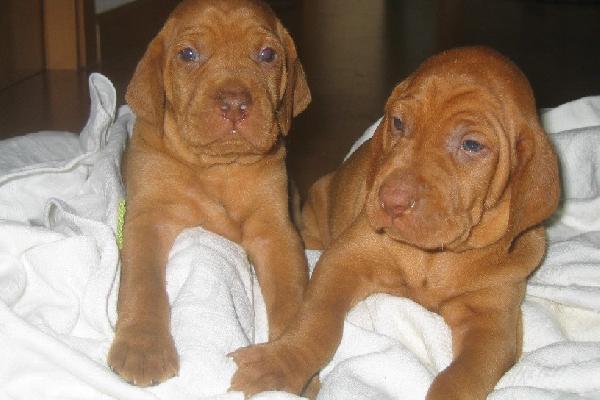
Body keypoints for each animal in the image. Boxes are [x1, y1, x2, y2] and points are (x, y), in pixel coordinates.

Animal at [108, 0, 312, 388]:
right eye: (188, 54)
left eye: (267, 55)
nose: (234, 103)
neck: (215, 167)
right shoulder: (147, 219)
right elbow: (142, 284)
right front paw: (143, 347)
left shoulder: (275, 231)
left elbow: (292, 298)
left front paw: (285, 361)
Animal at [231, 47, 564, 400]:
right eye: (399, 123)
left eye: (472, 145)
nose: (391, 201)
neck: (436, 257)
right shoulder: (344, 259)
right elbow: (316, 320)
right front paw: (280, 363)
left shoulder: (493, 322)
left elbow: (463, 376)